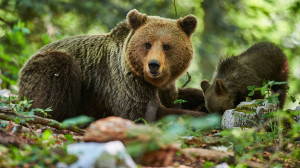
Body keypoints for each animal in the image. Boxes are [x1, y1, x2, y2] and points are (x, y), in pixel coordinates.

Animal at [18, 9, 206, 121]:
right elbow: (144, 113)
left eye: (167, 46)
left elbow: (178, 97)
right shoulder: (126, 82)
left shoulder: (166, 86)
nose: (154, 65)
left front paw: (202, 99)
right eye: (147, 44)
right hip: (45, 71)